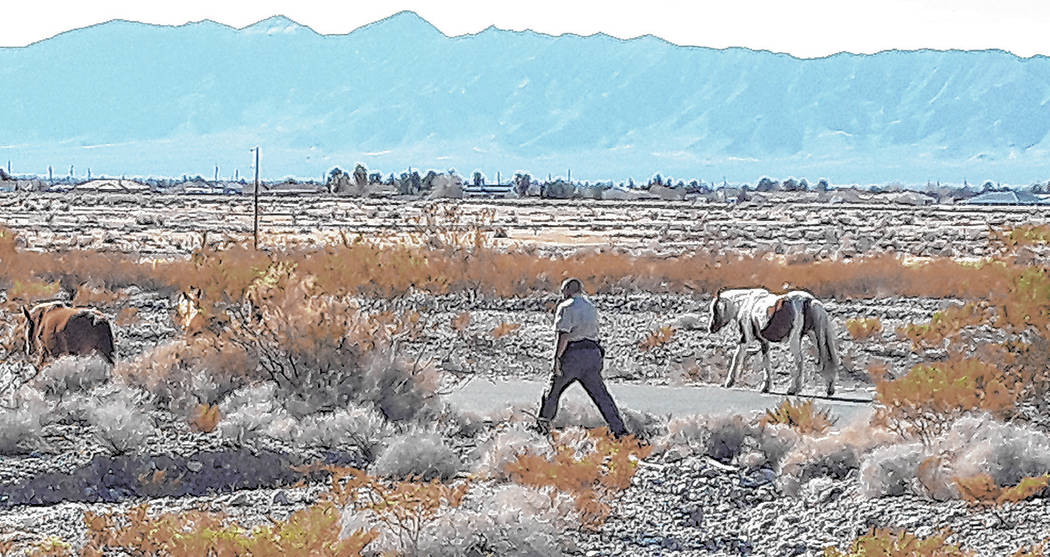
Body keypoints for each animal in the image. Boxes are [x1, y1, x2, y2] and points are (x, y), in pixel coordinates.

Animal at [709, 285, 839, 395]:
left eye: (715, 309)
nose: (711, 328)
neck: (747, 304)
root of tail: (809, 300)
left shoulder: (745, 339)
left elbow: (737, 357)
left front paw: (729, 382)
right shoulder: (764, 342)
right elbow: (766, 361)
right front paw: (765, 386)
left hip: (795, 339)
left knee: (799, 360)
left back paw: (793, 389)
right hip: (814, 336)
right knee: (825, 358)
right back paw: (828, 387)